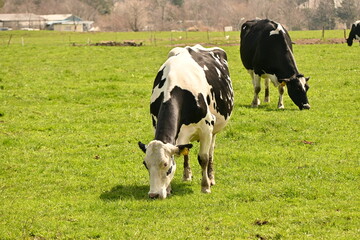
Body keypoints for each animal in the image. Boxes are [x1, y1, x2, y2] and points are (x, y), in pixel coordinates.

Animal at [138, 44, 233, 199]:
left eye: (166, 165)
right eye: (146, 164)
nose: (153, 194)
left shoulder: (206, 128)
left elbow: (203, 158)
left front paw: (205, 186)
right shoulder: (155, 123)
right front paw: (169, 188)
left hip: (214, 129)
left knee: (211, 152)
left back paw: (211, 178)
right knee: (186, 151)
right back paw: (187, 175)